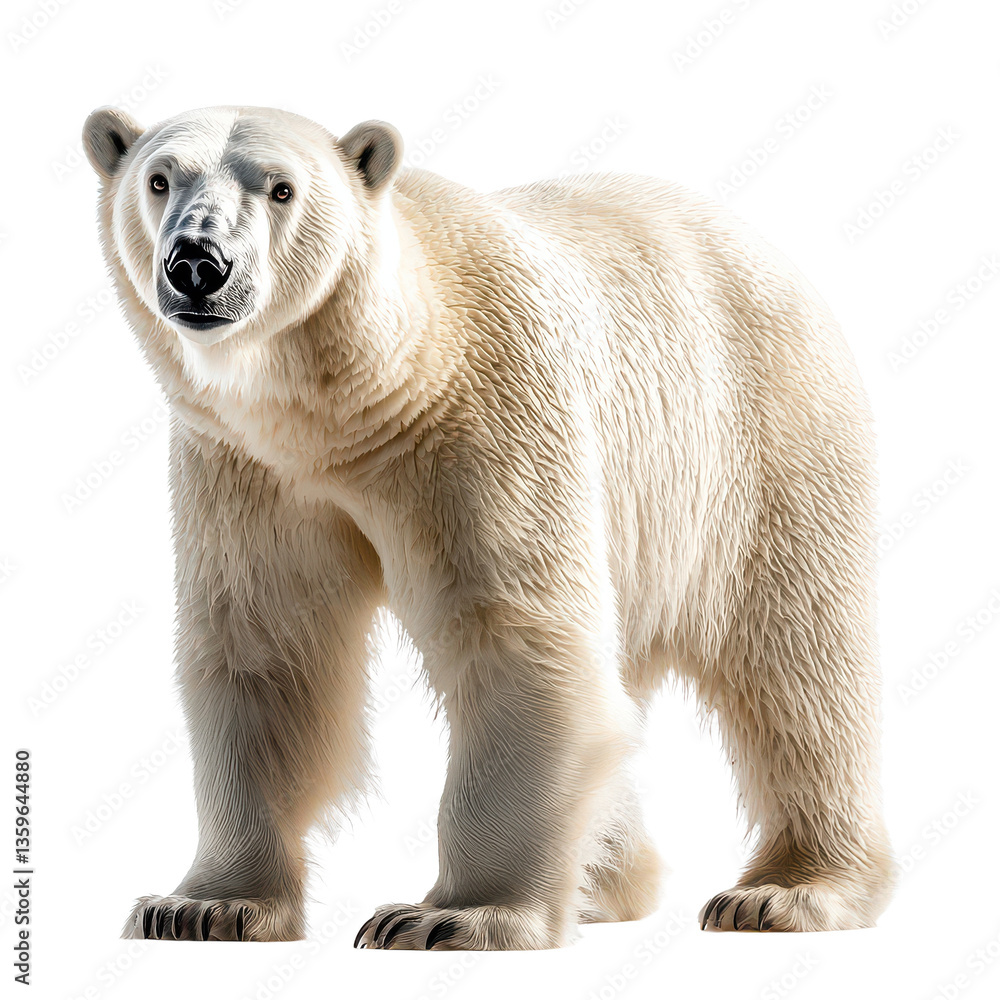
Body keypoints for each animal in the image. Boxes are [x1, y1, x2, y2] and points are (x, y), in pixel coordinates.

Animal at [82, 104, 896, 949]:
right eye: (160, 178)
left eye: (281, 188)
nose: (197, 263)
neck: (362, 399)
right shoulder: (249, 466)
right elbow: (267, 651)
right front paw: (200, 906)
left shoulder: (487, 415)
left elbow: (517, 639)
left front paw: (451, 915)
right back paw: (606, 880)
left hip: (758, 444)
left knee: (797, 661)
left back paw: (786, 892)